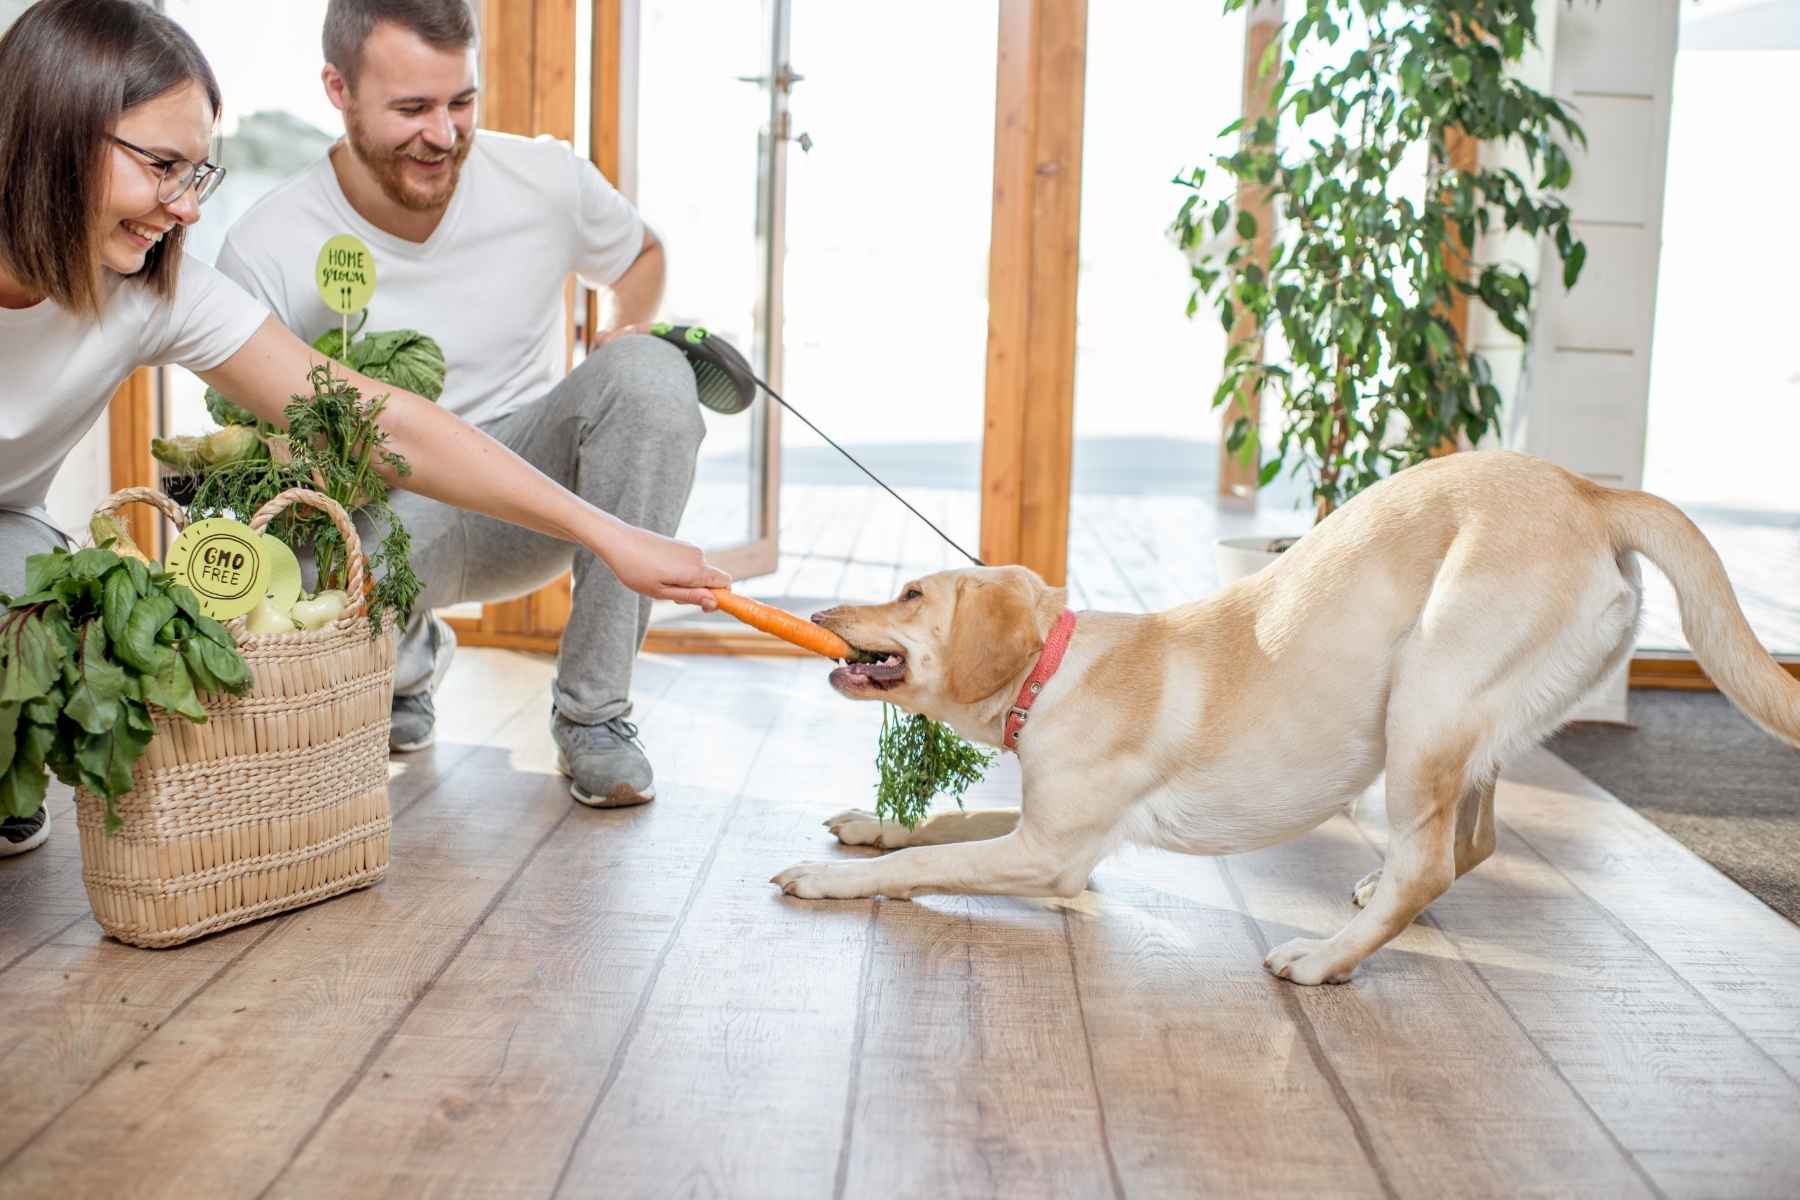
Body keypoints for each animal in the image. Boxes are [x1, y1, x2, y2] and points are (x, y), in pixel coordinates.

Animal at [774, 449, 1800, 985]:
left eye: (910, 593)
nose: (818, 611)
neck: (1058, 669)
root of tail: (1589, 490)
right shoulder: (1047, 826)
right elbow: (943, 822)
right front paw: (870, 825)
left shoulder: (1053, 856)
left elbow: (927, 863)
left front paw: (830, 880)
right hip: (1474, 721)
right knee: (1472, 842)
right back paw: (1370, 897)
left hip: (1426, 696)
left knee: (1432, 862)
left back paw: (1326, 959)